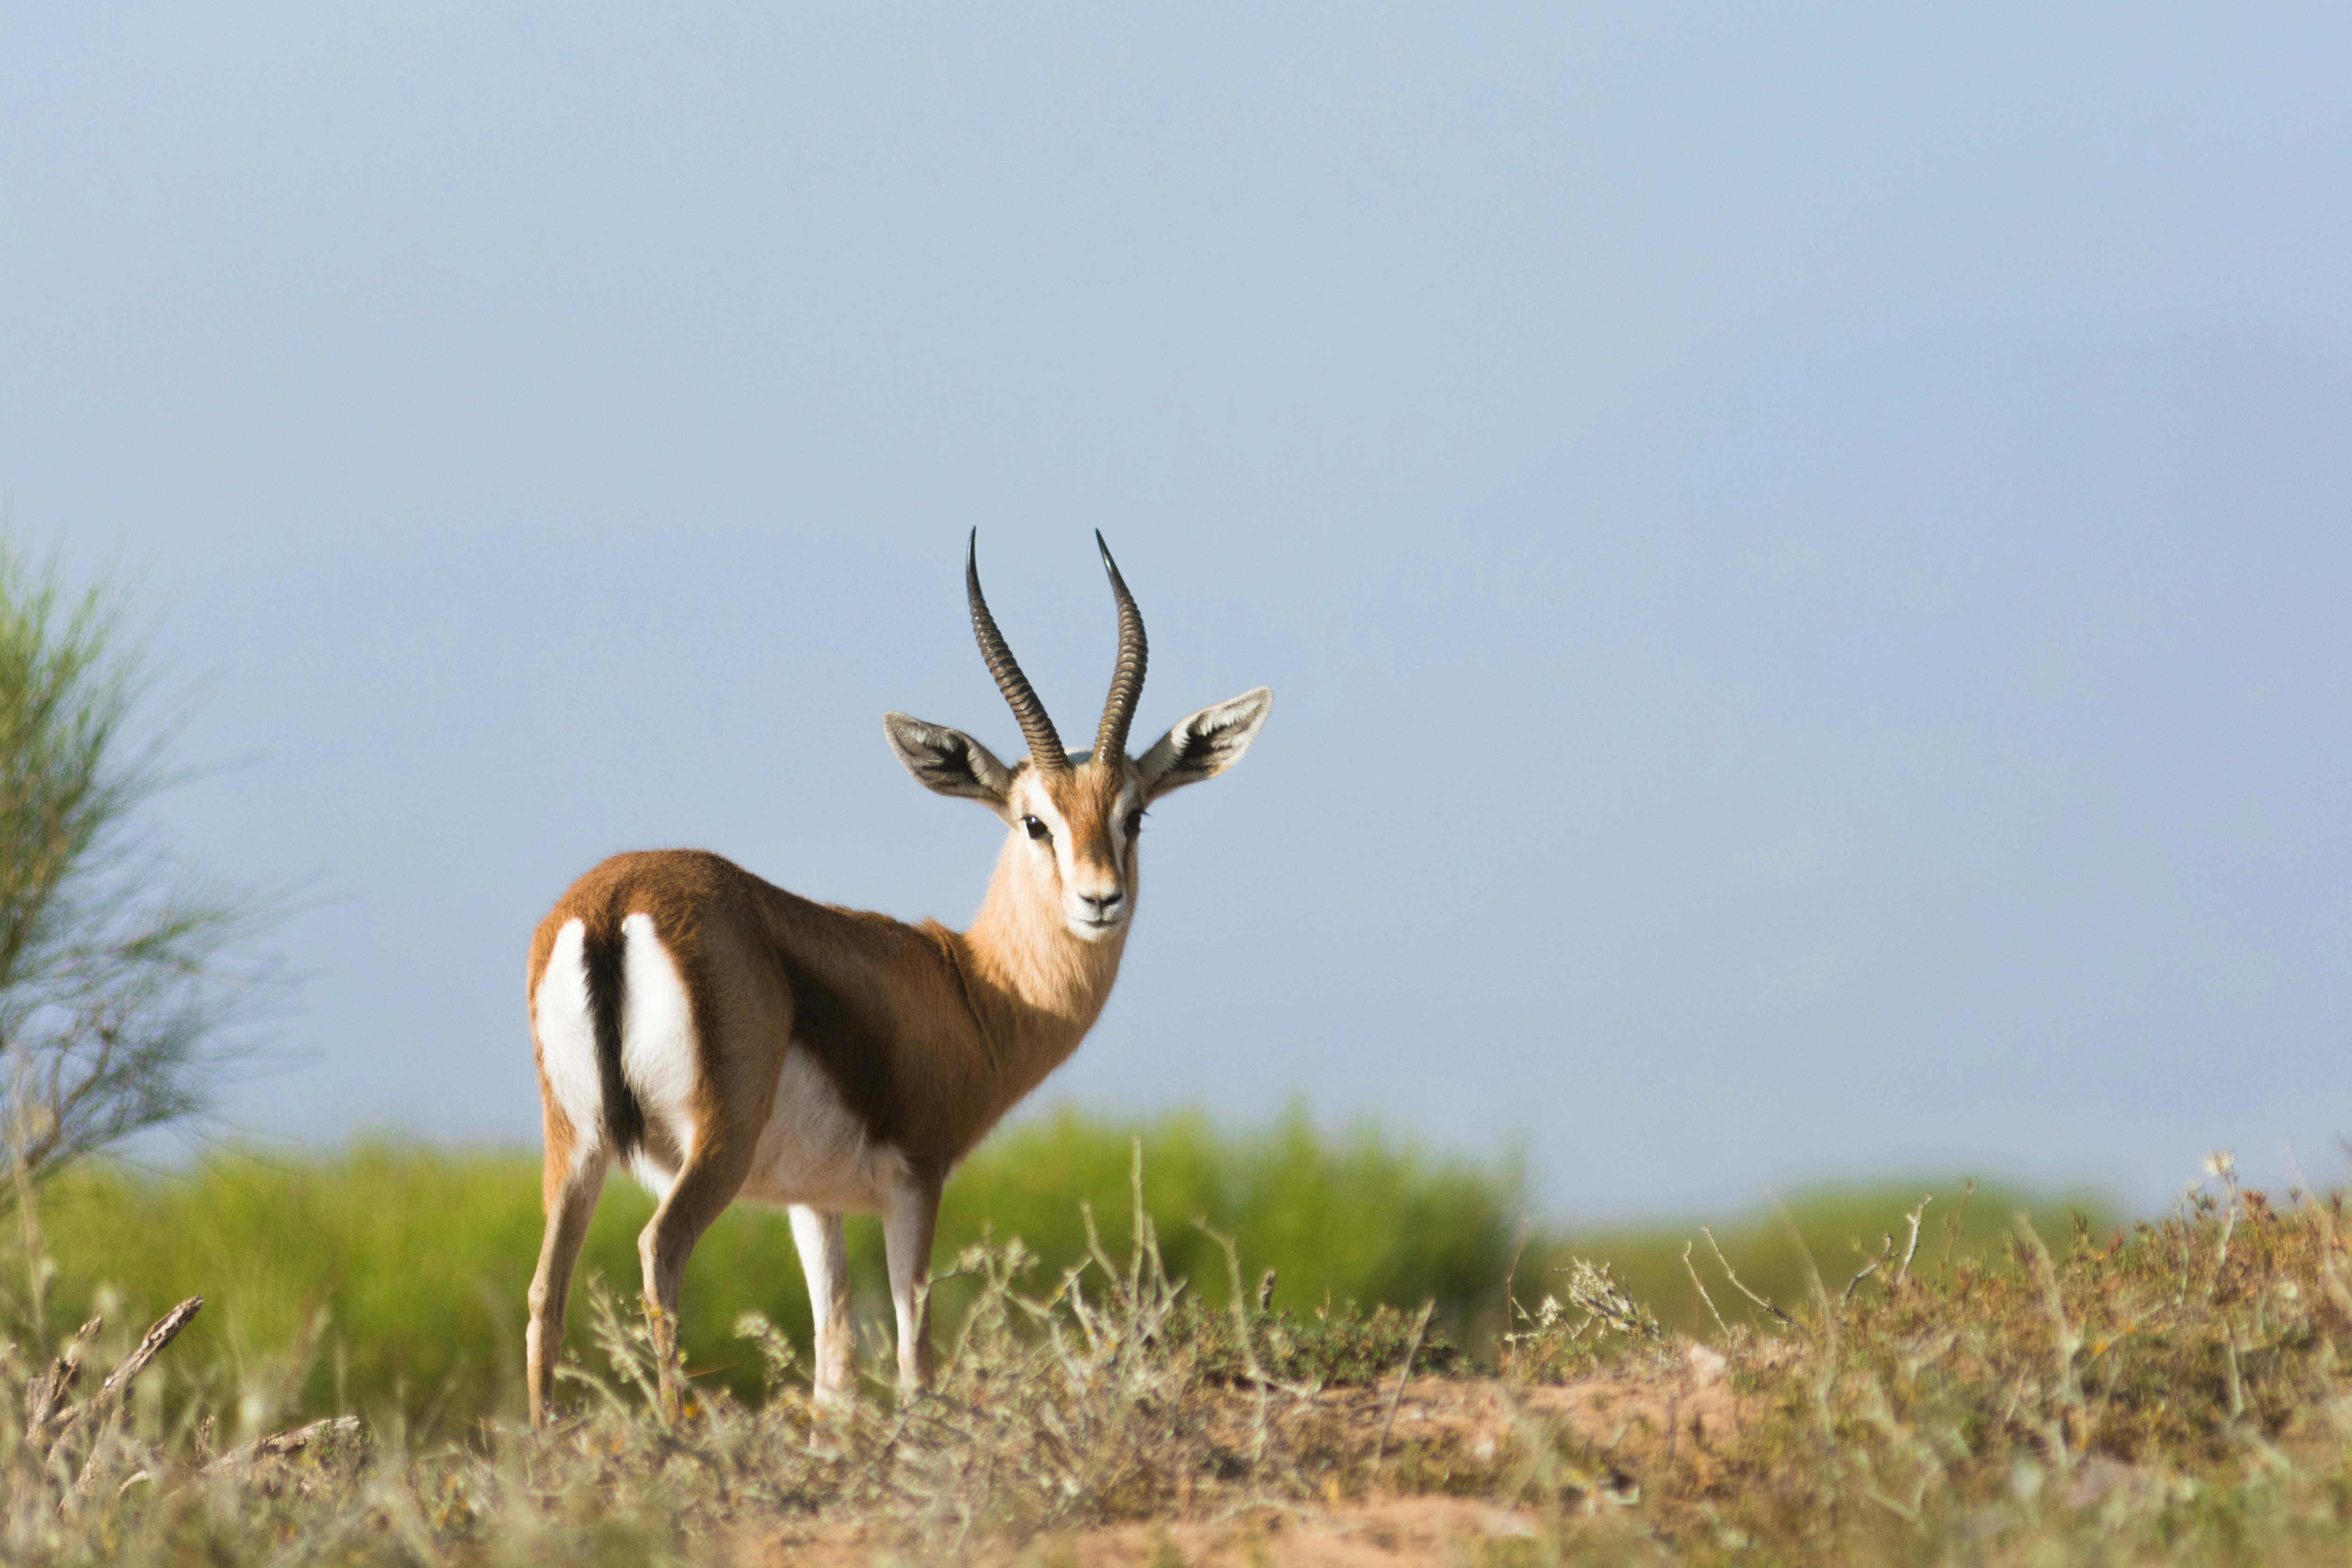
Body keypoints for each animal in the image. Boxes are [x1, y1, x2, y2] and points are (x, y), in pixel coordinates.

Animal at [522, 533, 1272, 1422]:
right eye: (1035, 821)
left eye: (1135, 814)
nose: (1100, 899)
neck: (970, 987)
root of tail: (611, 906)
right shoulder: (917, 1178)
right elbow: (915, 1359)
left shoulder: (813, 1202)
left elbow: (835, 1365)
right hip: (714, 1147)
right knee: (659, 1249)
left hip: (574, 1147)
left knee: (545, 1293)